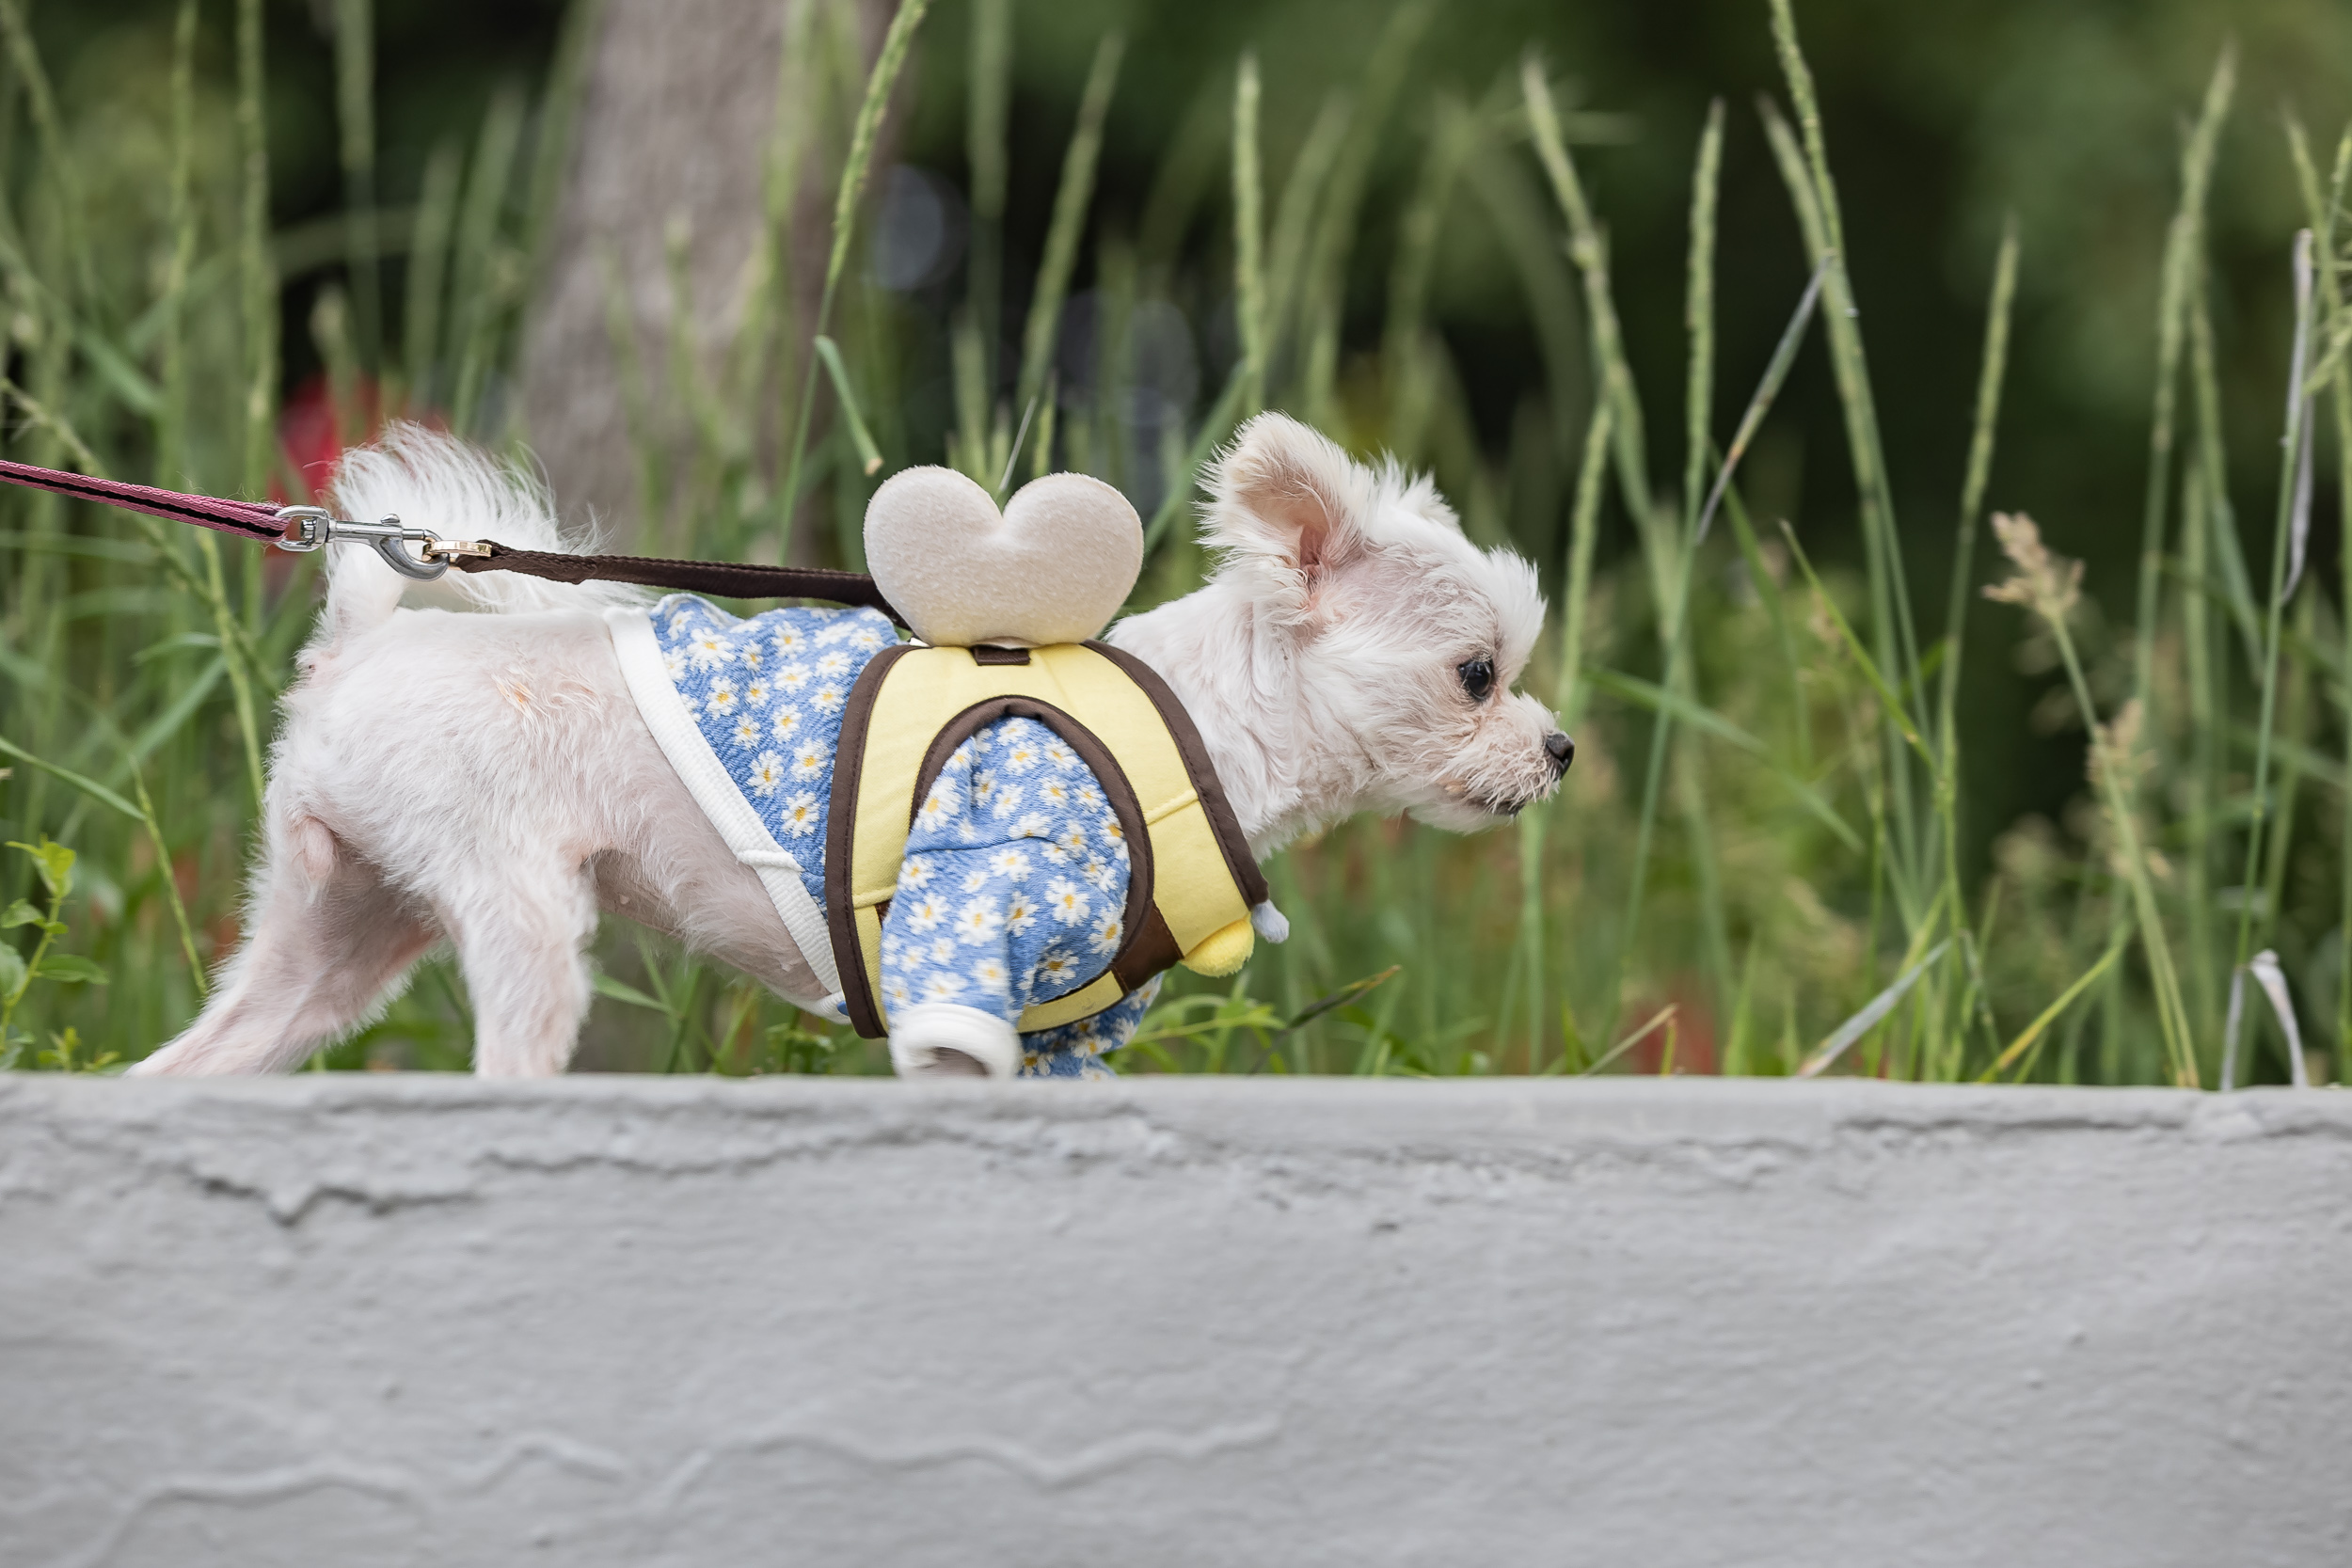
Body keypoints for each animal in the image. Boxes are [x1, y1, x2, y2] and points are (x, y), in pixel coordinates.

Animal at [123, 413, 1562, 1081]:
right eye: (1477, 675)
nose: (1558, 747)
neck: (1189, 724)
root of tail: (356, 653)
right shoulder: (959, 950)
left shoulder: (1064, 1031)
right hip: (513, 911)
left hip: (336, 933)